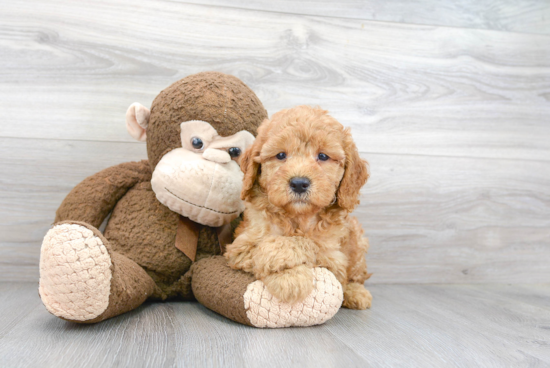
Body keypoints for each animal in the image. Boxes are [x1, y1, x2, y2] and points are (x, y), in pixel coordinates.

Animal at [226, 105, 374, 310]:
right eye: (281, 155)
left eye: (323, 156)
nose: (298, 183)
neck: (297, 217)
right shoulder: (240, 245)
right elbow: (265, 244)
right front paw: (290, 279)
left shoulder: (333, 259)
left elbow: (307, 243)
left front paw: (288, 273)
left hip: (357, 239)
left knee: (357, 275)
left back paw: (356, 292)